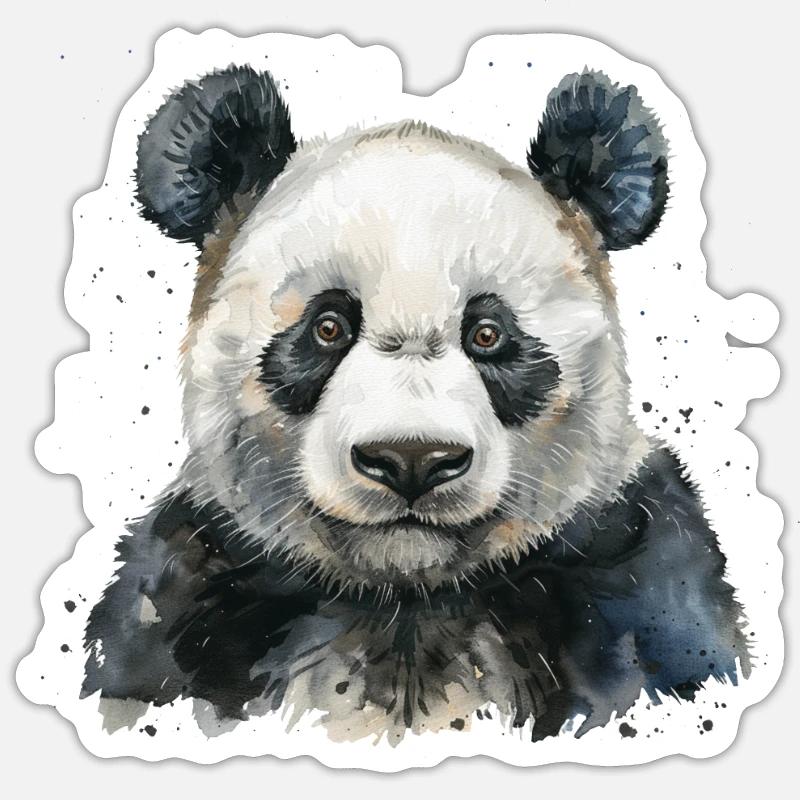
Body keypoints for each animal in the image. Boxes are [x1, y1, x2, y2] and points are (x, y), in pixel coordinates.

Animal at [83, 64, 750, 742]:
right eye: (328, 327)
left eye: (488, 334)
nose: (411, 460)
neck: (407, 603)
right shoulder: (191, 590)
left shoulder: (639, 578)